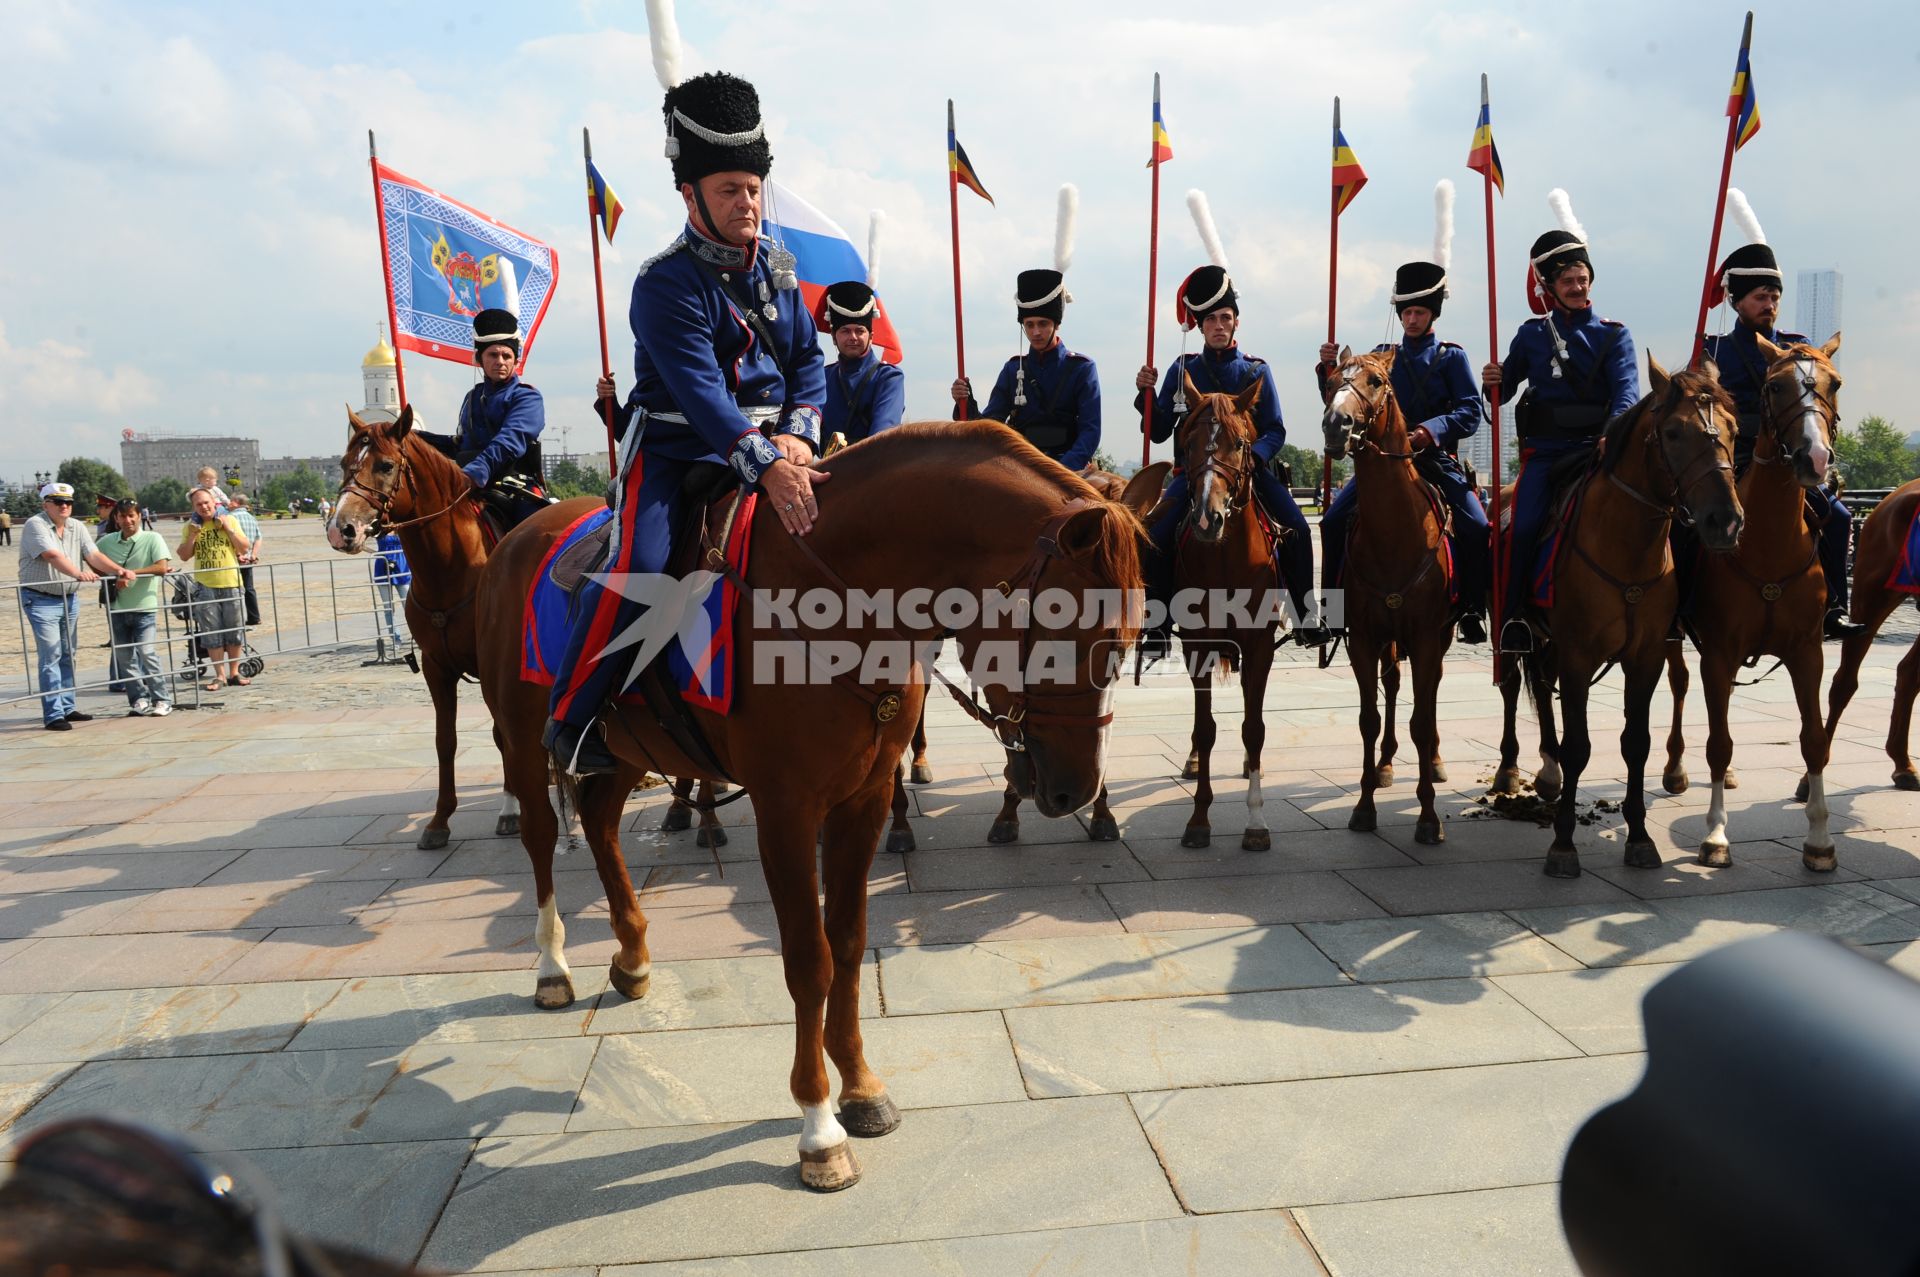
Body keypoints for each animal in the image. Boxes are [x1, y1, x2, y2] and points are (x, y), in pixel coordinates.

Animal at [474, 422, 1144, 1190]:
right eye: (1077, 636)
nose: (1076, 791)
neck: (842, 600)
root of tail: (524, 530)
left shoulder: (865, 799)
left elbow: (848, 943)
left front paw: (860, 1086)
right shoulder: (786, 810)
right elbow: (808, 958)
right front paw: (819, 1126)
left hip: (629, 744)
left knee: (601, 819)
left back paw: (634, 954)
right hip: (524, 736)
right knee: (540, 831)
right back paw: (552, 965)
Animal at [1489, 359, 1751, 875]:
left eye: (1733, 430)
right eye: (1673, 433)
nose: (1725, 522)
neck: (1628, 544)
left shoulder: (1644, 656)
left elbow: (1636, 743)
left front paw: (1640, 837)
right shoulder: (1578, 655)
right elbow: (1579, 746)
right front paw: (1563, 844)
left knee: (1541, 690)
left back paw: (1547, 773)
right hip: (1510, 628)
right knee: (1512, 687)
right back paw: (1511, 770)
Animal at [1666, 334, 1843, 867]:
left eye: (1835, 383)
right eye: (1775, 385)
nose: (1814, 459)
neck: (1768, 542)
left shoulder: (1808, 652)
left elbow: (1813, 740)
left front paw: (1820, 840)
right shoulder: (1720, 652)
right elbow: (1718, 742)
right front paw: (1716, 835)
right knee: (1680, 685)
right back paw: (1676, 769)